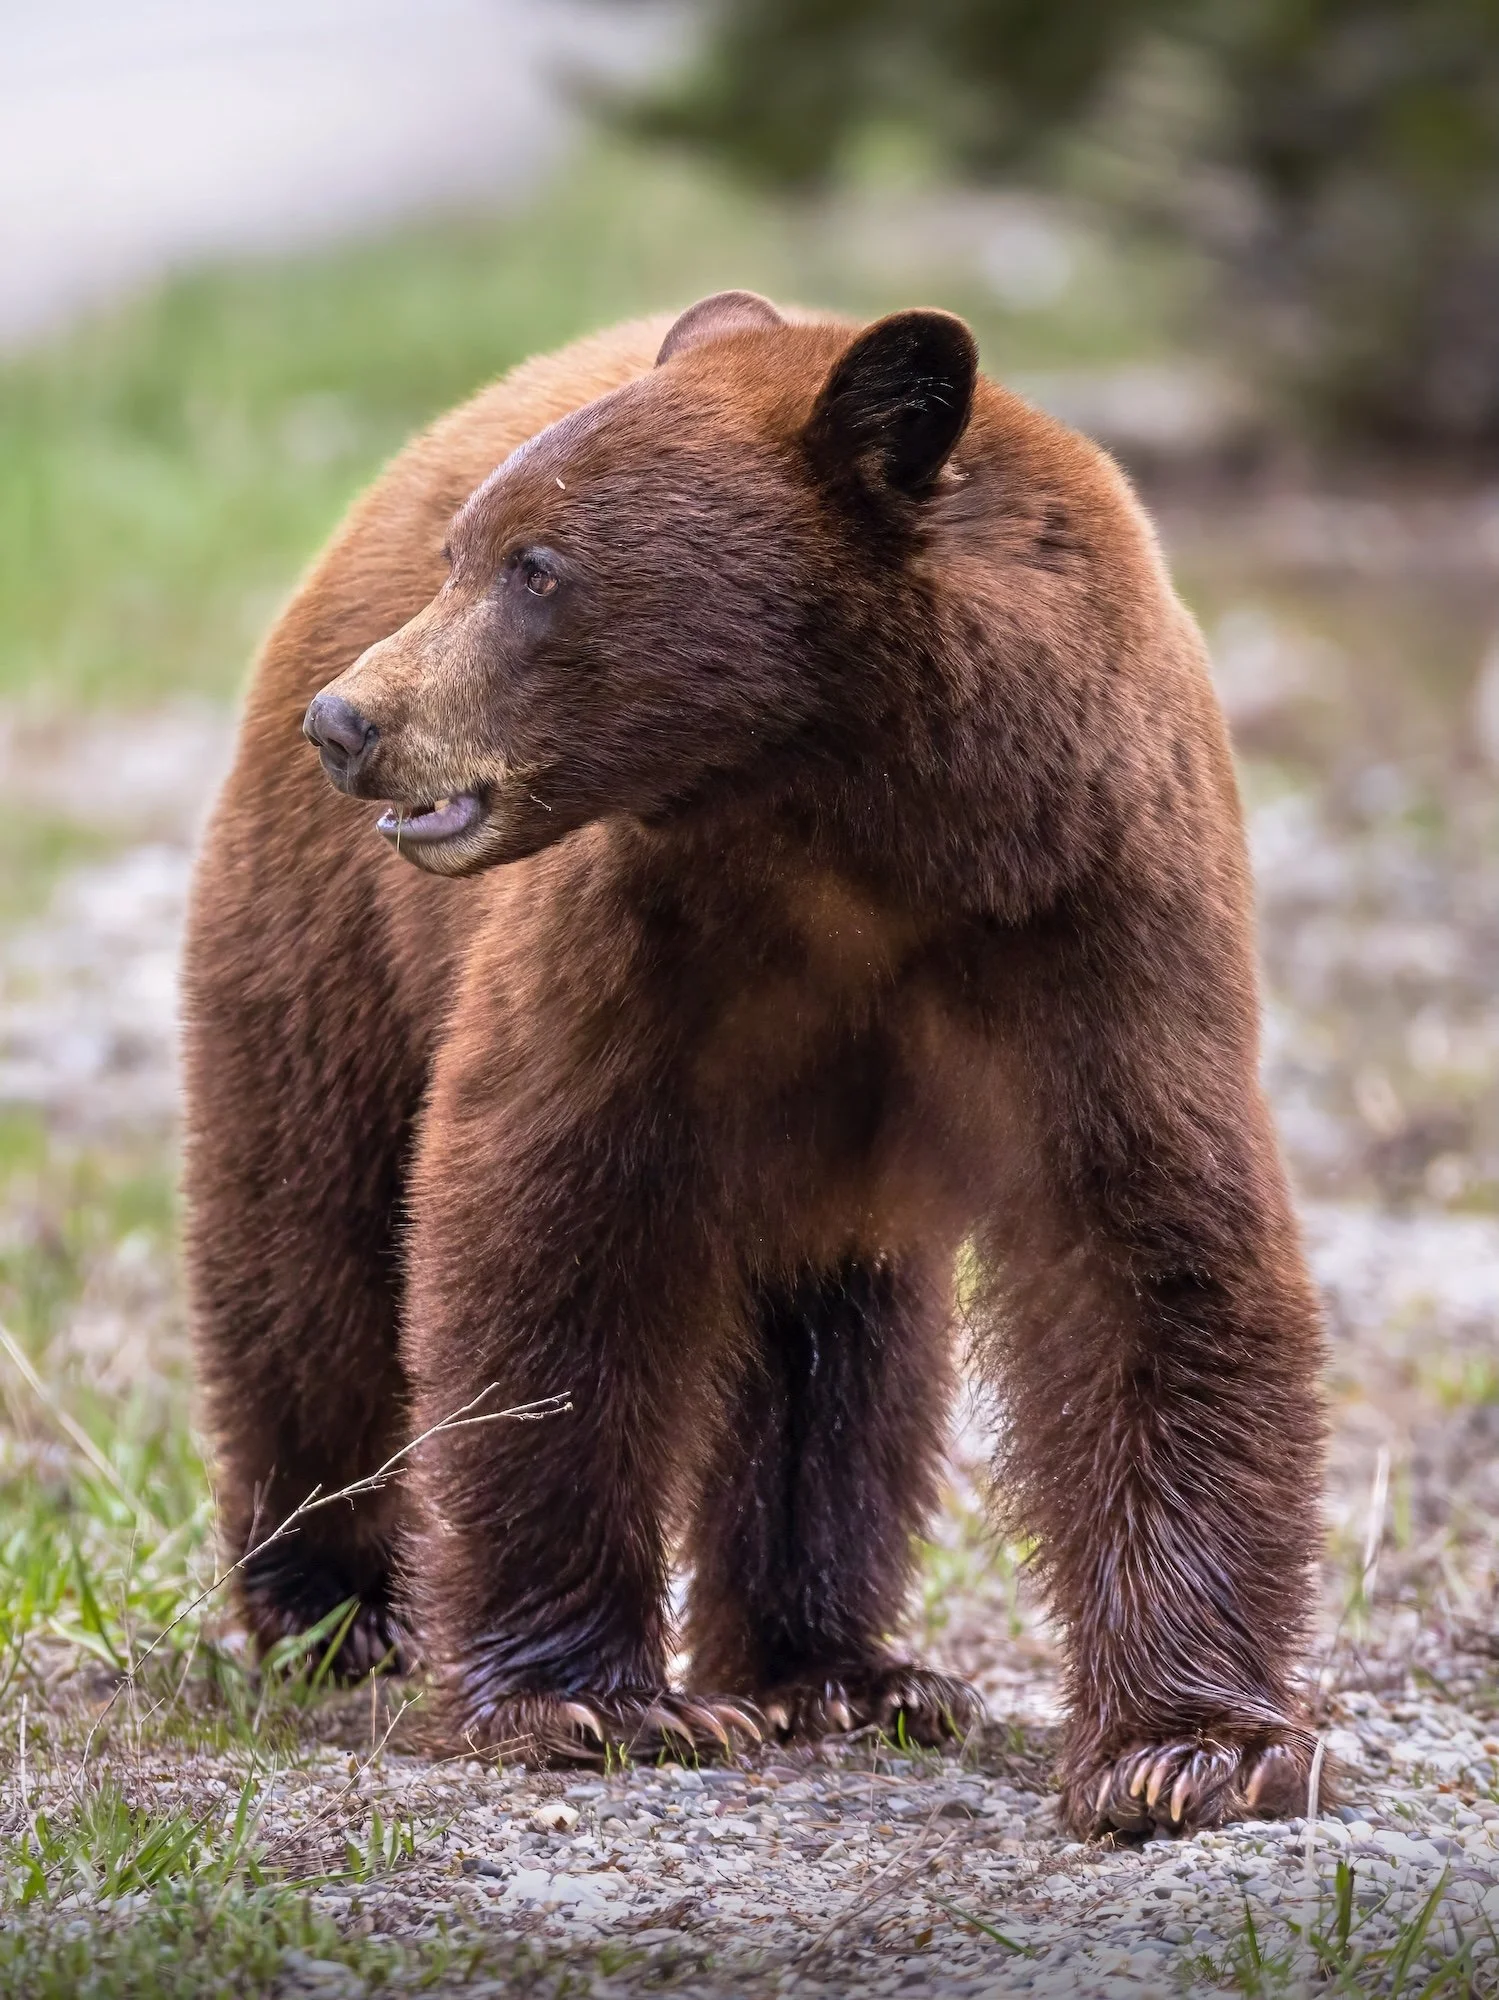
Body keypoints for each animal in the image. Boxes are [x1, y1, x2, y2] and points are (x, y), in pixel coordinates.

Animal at [181, 290, 1326, 1838]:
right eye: (467, 553)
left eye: (536, 566)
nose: (351, 723)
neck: (852, 830)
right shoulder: (638, 943)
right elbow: (546, 1229)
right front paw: (588, 1701)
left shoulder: (1089, 915)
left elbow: (1149, 1253)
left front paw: (1190, 1748)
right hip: (331, 944)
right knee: (311, 1244)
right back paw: (341, 1602)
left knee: (836, 1354)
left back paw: (836, 1667)